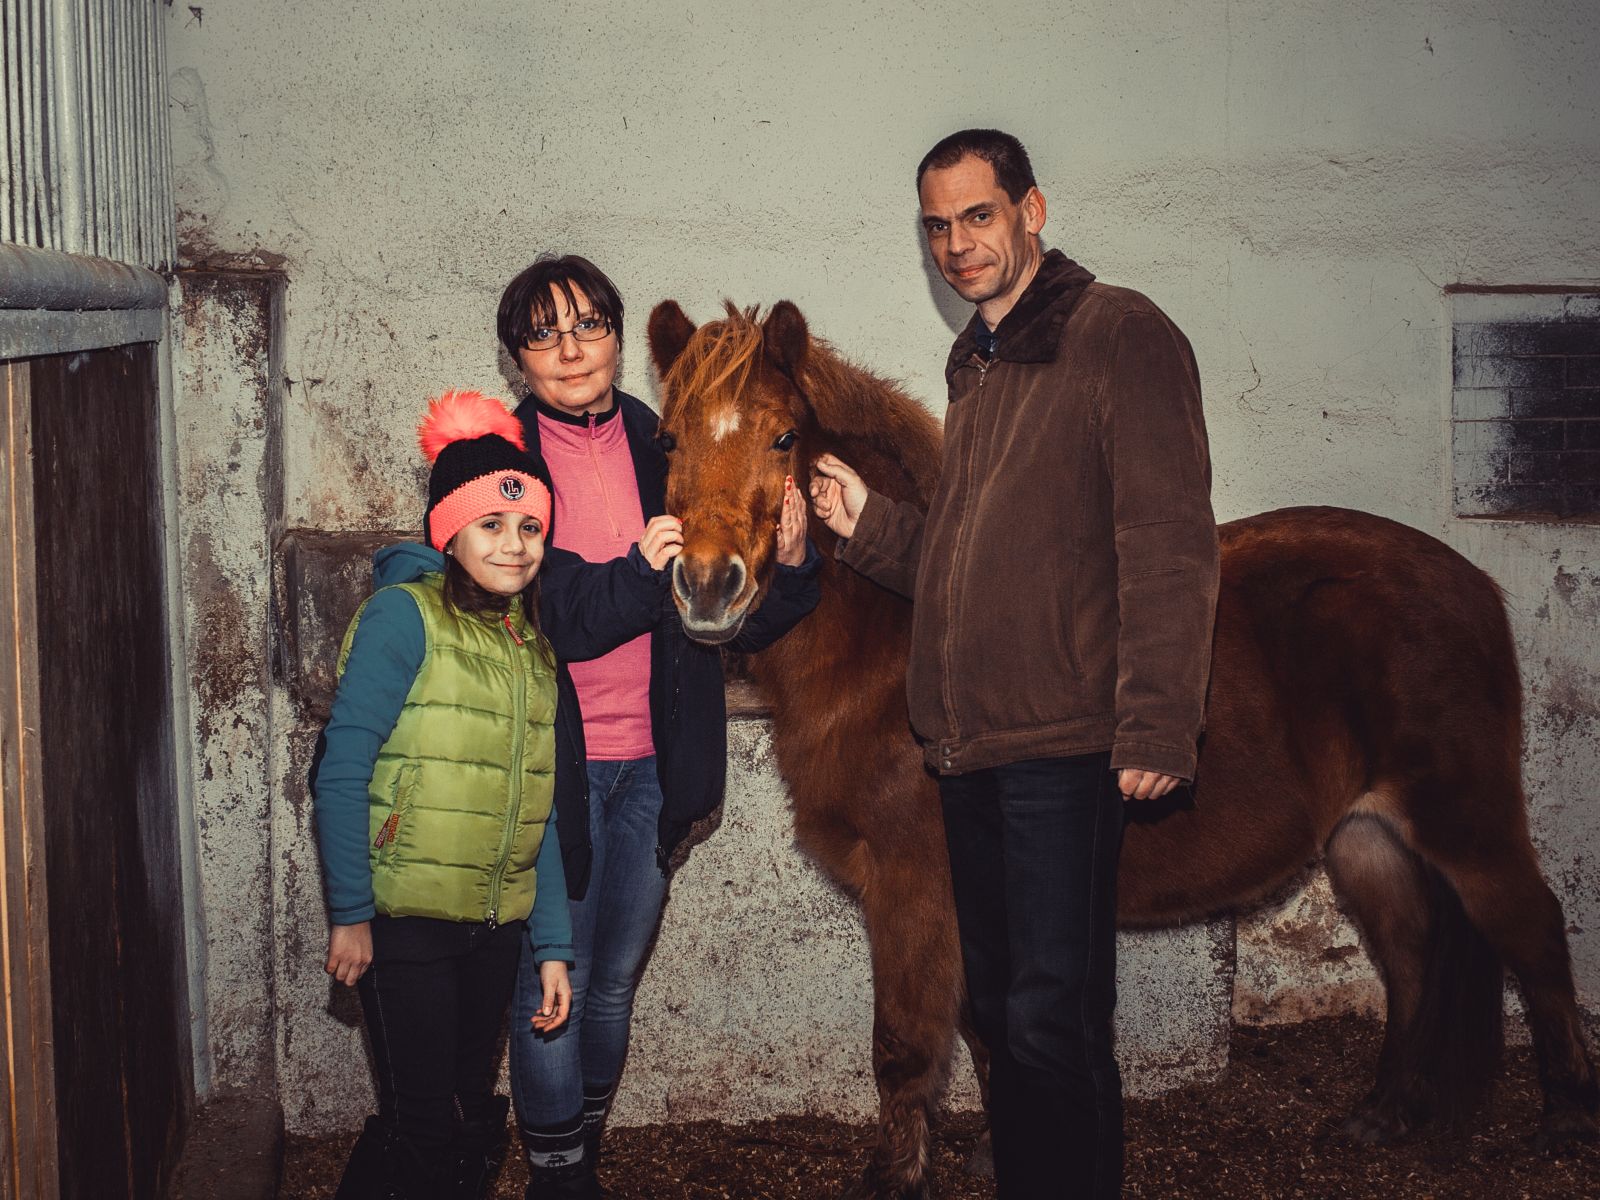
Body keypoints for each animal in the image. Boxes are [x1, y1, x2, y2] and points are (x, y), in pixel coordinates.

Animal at [645, 298, 1599, 1199]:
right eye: (668, 439)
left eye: (783, 436)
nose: (707, 586)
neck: (895, 641)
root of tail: (1473, 585)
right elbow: (988, 1032)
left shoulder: (912, 890)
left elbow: (905, 1048)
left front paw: (897, 1178)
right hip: (1364, 835)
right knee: (1409, 952)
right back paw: (1385, 1113)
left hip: (1467, 822)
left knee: (1536, 934)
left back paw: (1565, 1122)